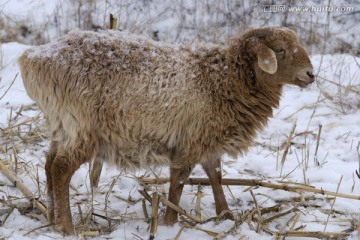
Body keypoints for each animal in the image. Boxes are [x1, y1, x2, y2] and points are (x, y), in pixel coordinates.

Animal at [18, 26, 314, 234]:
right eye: (279, 49)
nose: (311, 74)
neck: (223, 77)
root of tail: (33, 58)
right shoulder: (191, 141)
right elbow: (179, 182)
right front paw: (170, 222)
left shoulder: (207, 139)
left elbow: (215, 175)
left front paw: (226, 215)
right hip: (80, 124)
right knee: (61, 169)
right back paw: (68, 228)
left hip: (61, 123)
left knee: (49, 164)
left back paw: (53, 219)